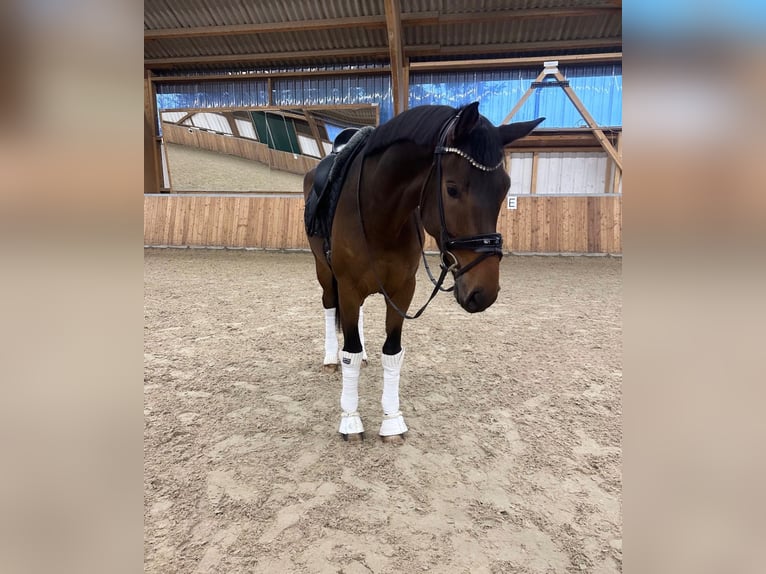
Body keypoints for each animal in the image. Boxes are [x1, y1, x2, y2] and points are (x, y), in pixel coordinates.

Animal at [304, 103, 544, 444]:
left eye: (504, 189)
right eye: (452, 189)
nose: (484, 292)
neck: (380, 215)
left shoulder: (403, 289)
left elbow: (392, 352)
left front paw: (392, 421)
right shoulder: (348, 285)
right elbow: (350, 352)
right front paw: (350, 420)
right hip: (325, 273)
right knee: (328, 306)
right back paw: (329, 358)